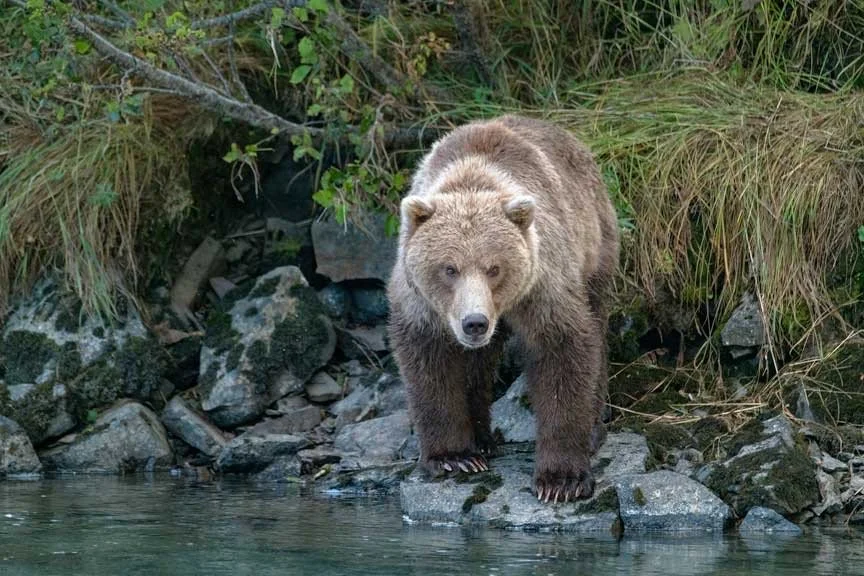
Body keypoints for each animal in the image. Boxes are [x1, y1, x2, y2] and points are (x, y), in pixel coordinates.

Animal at [386, 114, 620, 503]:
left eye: (494, 268)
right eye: (449, 269)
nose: (475, 323)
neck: (472, 178)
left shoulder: (542, 281)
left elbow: (562, 351)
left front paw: (561, 479)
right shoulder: (422, 303)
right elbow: (429, 362)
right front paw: (453, 457)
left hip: (594, 244)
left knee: (598, 327)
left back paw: (592, 430)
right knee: (478, 364)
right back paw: (481, 441)